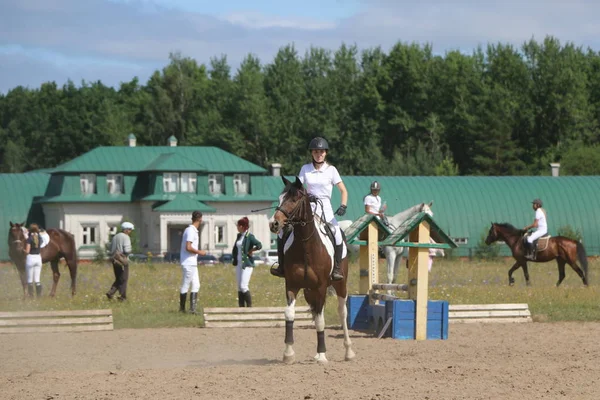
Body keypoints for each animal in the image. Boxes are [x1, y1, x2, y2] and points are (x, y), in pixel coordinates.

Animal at [268, 177, 356, 364]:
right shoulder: (292, 285)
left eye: (294, 199)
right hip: (309, 291)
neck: (305, 245)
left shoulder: (321, 287)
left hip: (340, 285)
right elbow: (289, 314)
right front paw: (288, 353)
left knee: (342, 312)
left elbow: (322, 321)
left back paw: (348, 351)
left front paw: (322, 355)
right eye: (280, 198)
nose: (274, 224)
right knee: (315, 312)